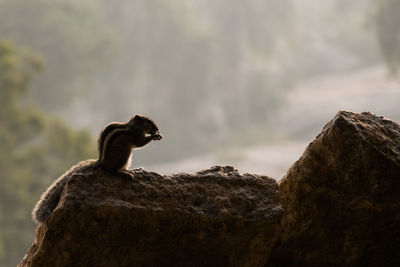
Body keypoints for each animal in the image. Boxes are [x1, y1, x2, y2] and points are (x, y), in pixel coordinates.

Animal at [31, 114, 162, 225]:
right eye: (147, 122)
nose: (157, 129)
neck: (133, 126)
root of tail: (101, 162)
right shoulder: (136, 134)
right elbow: (140, 143)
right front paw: (154, 136)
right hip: (124, 154)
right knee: (110, 170)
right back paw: (125, 173)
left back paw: (132, 170)